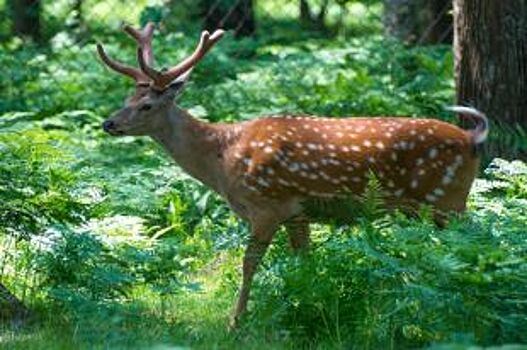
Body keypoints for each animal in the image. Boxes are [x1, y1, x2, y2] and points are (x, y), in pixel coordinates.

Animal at [96, 23, 490, 326]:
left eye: (146, 106)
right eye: (127, 99)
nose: (109, 123)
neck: (222, 159)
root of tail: (472, 139)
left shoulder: (267, 204)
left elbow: (249, 263)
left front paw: (236, 320)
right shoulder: (298, 212)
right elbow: (304, 261)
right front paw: (311, 302)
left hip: (446, 198)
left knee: (476, 240)